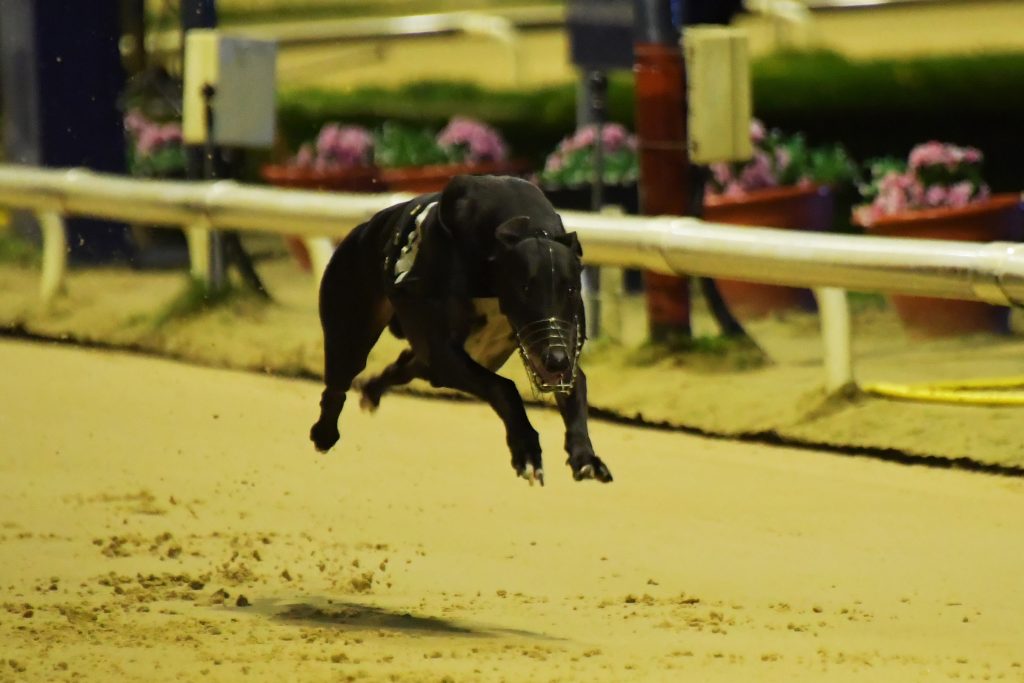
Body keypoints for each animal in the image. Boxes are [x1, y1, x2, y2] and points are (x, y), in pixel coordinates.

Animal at [309, 175, 613, 485]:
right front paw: (527, 453)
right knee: (338, 384)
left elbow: (576, 386)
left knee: (406, 365)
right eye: (524, 288)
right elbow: (503, 387)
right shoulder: (445, 354)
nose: (556, 360)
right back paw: (324, 433)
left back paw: (371, 392)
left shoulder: (561, 346)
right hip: (351, 332)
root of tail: (363, 227)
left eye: (571, 288)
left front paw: (585, 458)